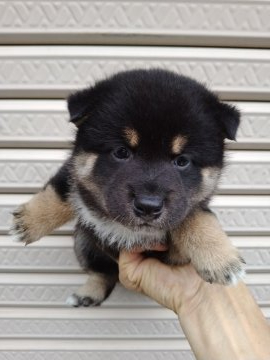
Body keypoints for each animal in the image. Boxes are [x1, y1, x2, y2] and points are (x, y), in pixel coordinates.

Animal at [11, 69, 245, 306]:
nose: (148, 206)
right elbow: (60, 188)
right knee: (103, 272)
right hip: (83, 242)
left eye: (182, 161)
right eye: (121, 152)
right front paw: (29, 221)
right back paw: (88, 294)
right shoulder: (75, 169)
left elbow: (194, 216)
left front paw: (219, 258)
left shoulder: (175, 239)